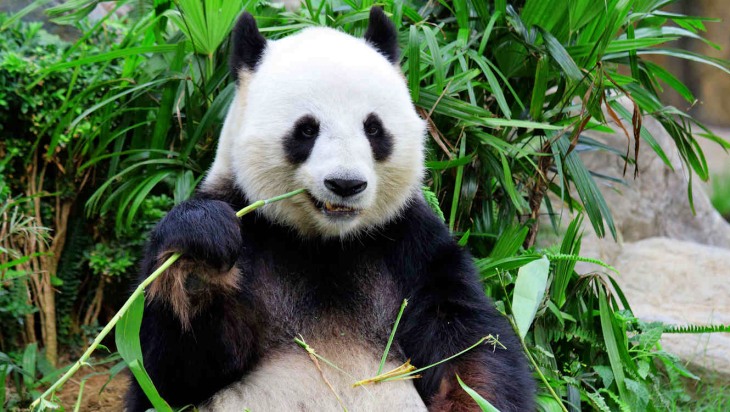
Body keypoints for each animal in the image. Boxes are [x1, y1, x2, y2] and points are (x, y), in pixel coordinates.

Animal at [126, 7, 534, 412]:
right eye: (306, 130)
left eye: (373, 128)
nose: (346, 184)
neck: (327, 243)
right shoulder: (249, 224)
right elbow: (169, 375)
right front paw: (200, 256)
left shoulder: (412, 245)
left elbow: (469, 346)